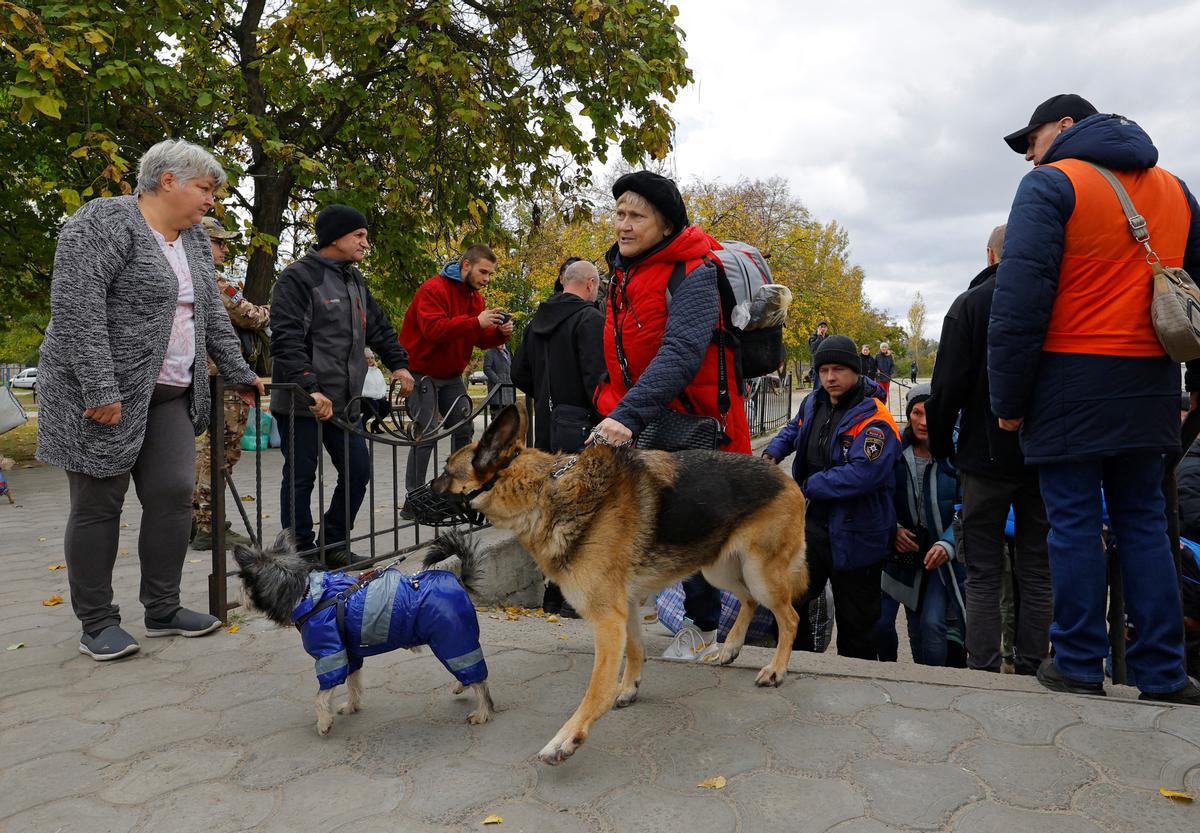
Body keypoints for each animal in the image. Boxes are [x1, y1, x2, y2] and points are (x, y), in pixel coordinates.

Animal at [231, 532, 494, 734]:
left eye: (243, 580)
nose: (238, 596)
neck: (307, 594)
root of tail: (458, 580)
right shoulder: (349, 652)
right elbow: (353, 681)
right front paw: (351, 705)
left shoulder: (331, 656)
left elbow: (320, 696)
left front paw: (324, 722)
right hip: (453, 641)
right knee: (470, 672)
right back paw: (462, 686)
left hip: (453, 639)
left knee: (479, 680)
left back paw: (482, 712)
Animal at [432, 408, 806, 768]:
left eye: (446, 472)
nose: (420, 493)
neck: (543, 491)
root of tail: (783, 477)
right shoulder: (624, 608)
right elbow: (636, 651)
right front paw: (628, 689)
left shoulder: (607, 620)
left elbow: (597, 690)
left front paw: (566, 739)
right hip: (720, 569)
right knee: (748, 600)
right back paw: (731, 647)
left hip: (759, 574)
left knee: (789, 617)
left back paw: (775, 670)